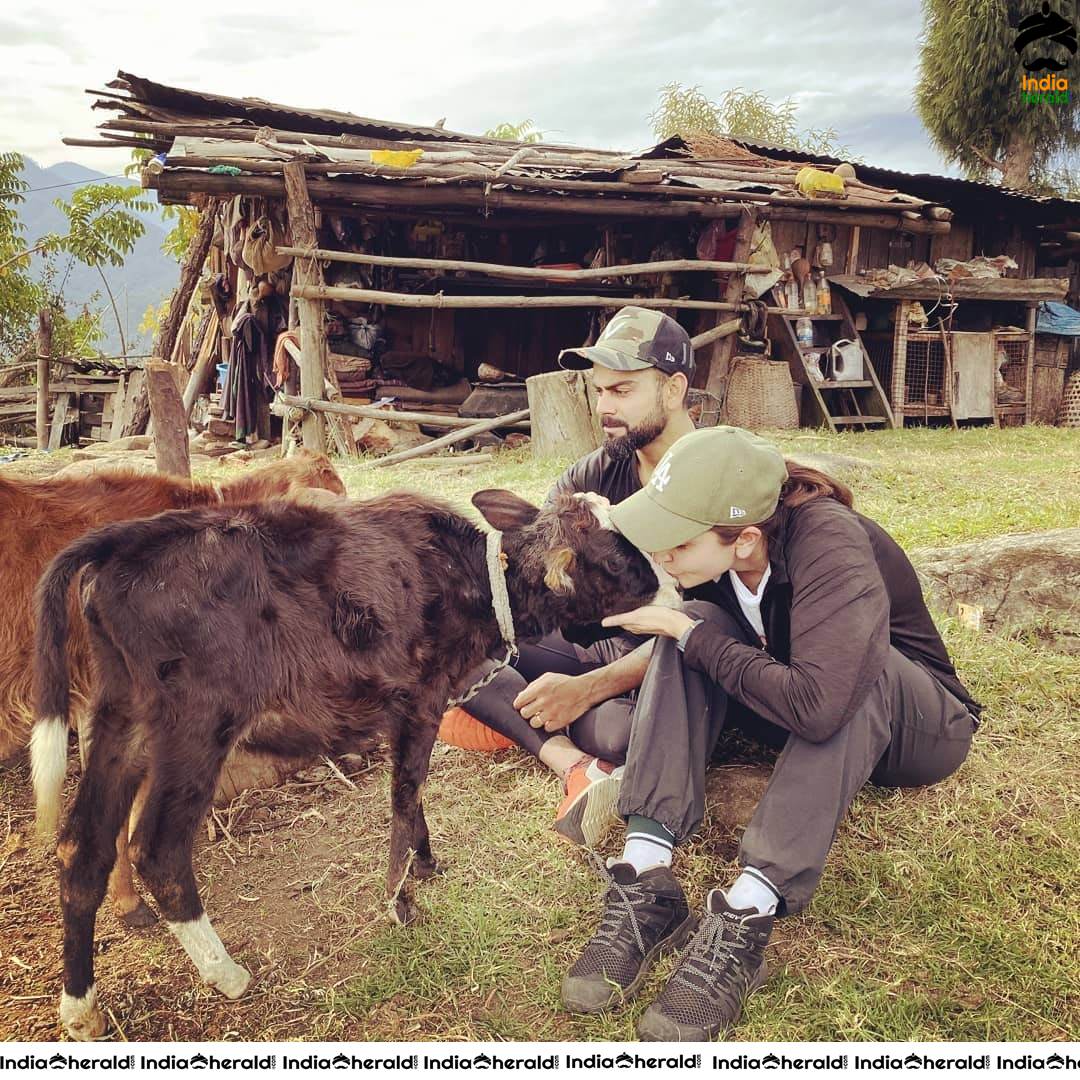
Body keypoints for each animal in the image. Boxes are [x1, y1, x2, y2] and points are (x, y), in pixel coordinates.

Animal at [31, 488, 656, 1036]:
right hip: (196, 725)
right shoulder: (420, 700)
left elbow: (412, 791)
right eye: (612, 556)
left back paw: (80, 1009)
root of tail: (124, 540)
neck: (471, 580)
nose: (660, 581)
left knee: (81, 846)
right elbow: (404, 794)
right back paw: (226, 974)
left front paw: (424, 865)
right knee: (156, 848)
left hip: (120, 720)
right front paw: (401, 902)